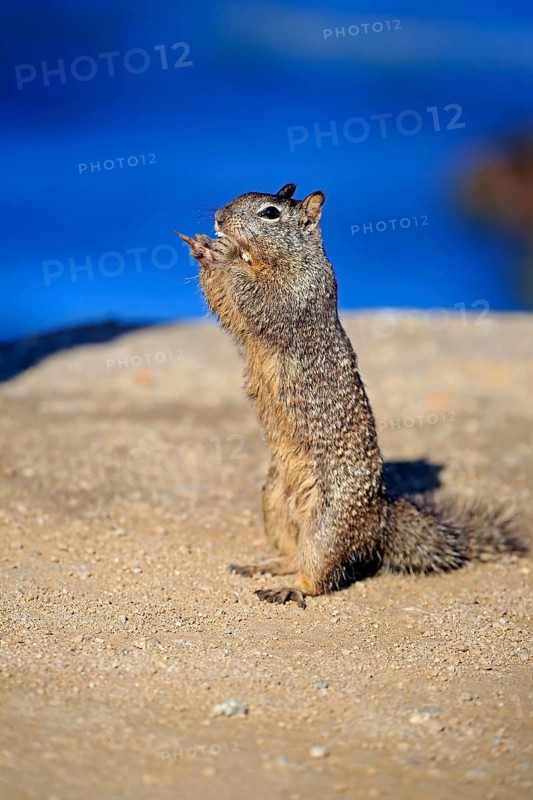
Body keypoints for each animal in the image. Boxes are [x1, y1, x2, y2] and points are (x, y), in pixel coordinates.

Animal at [178, 183, 523, 609]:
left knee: (317, 572)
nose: (219, 218)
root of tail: (380, 518)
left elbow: (259, 296)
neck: (283, 257)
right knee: (291, 553)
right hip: (273, 502)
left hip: (328, 524)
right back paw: (266, 565)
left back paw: (290, 588)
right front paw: (202, 247)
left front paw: (221, 252)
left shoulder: (295, 292)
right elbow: (227, 304)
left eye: (271, 212)